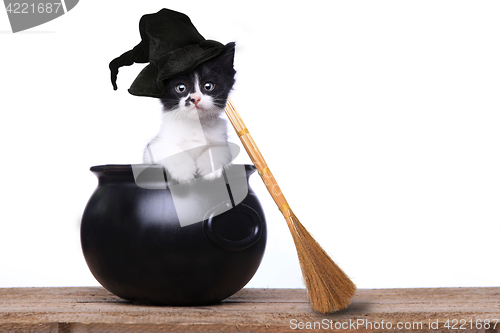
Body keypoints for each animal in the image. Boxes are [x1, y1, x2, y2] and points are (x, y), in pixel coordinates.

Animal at [143, 41, 236, 183]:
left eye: (208, 86)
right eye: (181, 88)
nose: (195, 98)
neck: (194, 125)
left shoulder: (221, 140)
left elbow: (219, 149)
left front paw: (210, 167)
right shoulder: (153, 147)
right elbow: (167, 148)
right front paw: (183, 170)